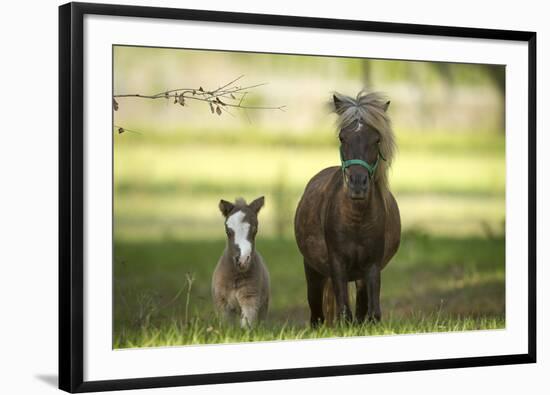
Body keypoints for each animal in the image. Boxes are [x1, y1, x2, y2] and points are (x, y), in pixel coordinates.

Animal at [298, 91, 402, 326]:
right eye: (342, 137)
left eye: (377, 139)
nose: (357, 183)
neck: (356, 220)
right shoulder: (337, 264)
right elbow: (344, 313)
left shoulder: (371, 266)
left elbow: (372, 313)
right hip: (313, 271)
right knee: (317, 316)